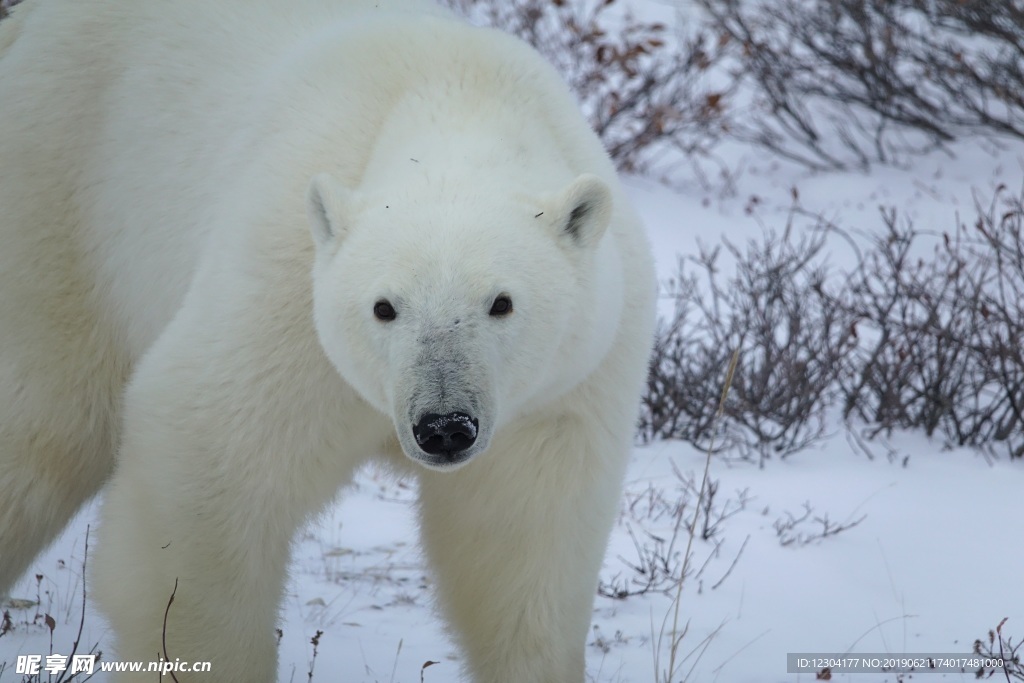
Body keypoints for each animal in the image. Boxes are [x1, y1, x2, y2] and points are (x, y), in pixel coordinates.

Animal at [0, 1, 655, 683]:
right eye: (384, 307)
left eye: (501, 303)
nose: (444, 426)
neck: (459, 96)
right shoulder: (285, 293)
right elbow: (207, 468)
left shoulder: (564, 388)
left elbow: (523, 544)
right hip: (60, 198)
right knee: (43, 430)